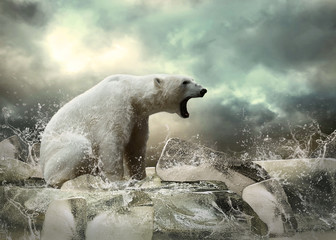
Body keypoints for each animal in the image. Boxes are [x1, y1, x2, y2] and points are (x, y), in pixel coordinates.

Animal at [39, 74, 207, 187]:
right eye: (185, 82)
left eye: (192, 79)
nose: (203, 89)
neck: (131, 91)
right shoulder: (115, 105)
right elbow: (111, 140)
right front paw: (118, 182)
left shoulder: (138, 117)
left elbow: (136, 145)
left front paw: (141, 177)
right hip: (58, 147)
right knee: (79, 147)